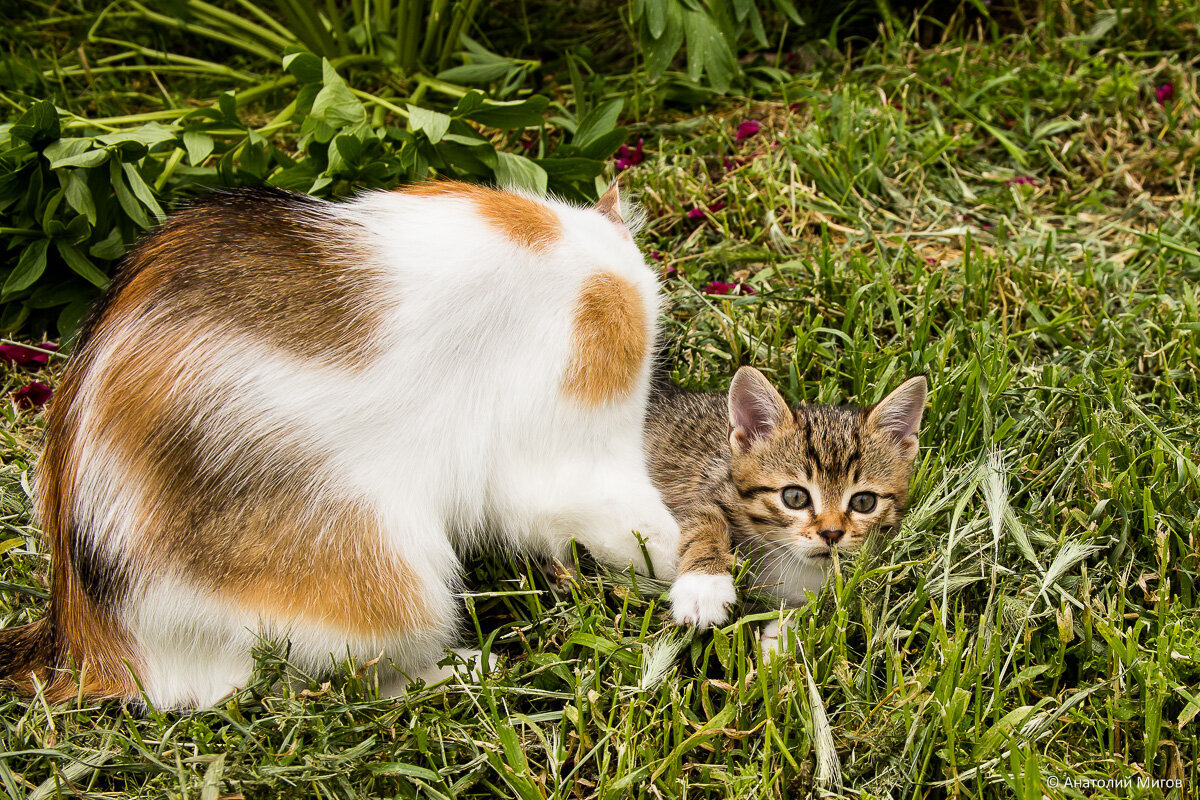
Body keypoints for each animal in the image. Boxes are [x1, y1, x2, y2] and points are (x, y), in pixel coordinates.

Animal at [0, 179, 676, 705]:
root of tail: (86, 643)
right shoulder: (561, 454)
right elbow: (634, 525)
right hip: (392, 575)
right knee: (361, 680)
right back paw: (471, 669)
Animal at [657, 367, 926, 633]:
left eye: (863, 502)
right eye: (795, 497)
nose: (831, 533)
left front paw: (781, 637)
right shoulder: (714, 486)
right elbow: (704, 519)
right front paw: (704, 585)